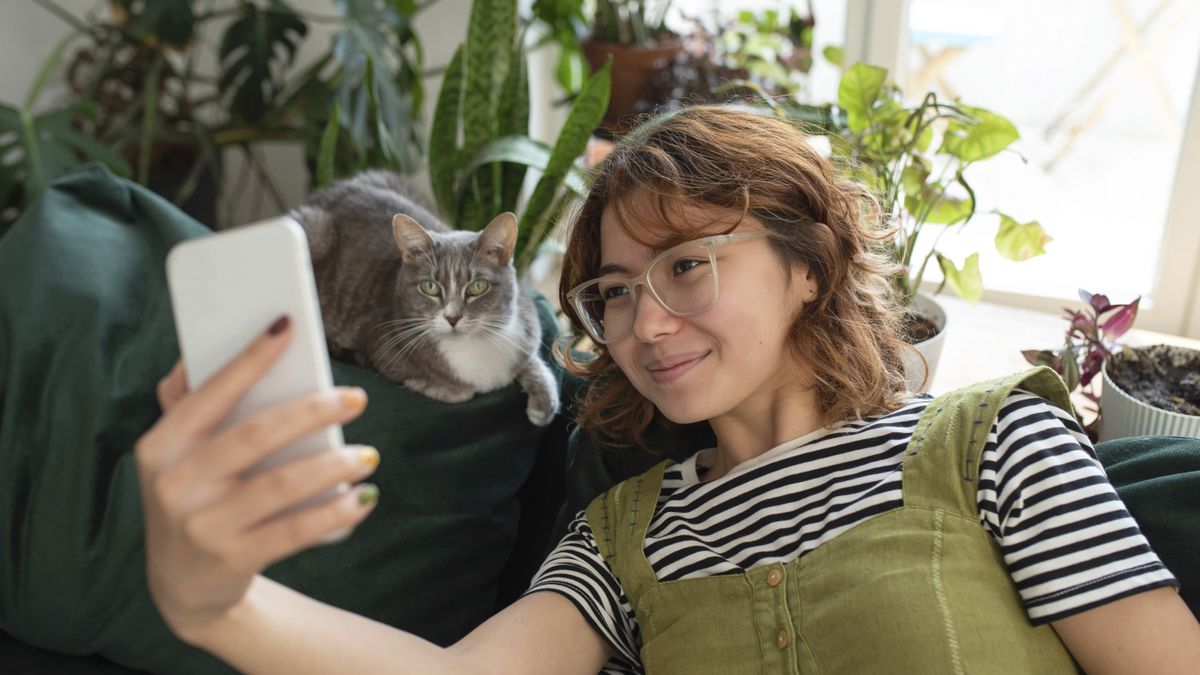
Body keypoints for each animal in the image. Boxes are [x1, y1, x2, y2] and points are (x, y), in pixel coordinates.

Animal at [288, 170, 559, 422]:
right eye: (430, 287)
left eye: (478, 287)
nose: (452, 318)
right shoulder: (381, 343)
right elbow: (461, 392)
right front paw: (433, 386)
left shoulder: (527, 327)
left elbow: (532, 360)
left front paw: (543, 404)